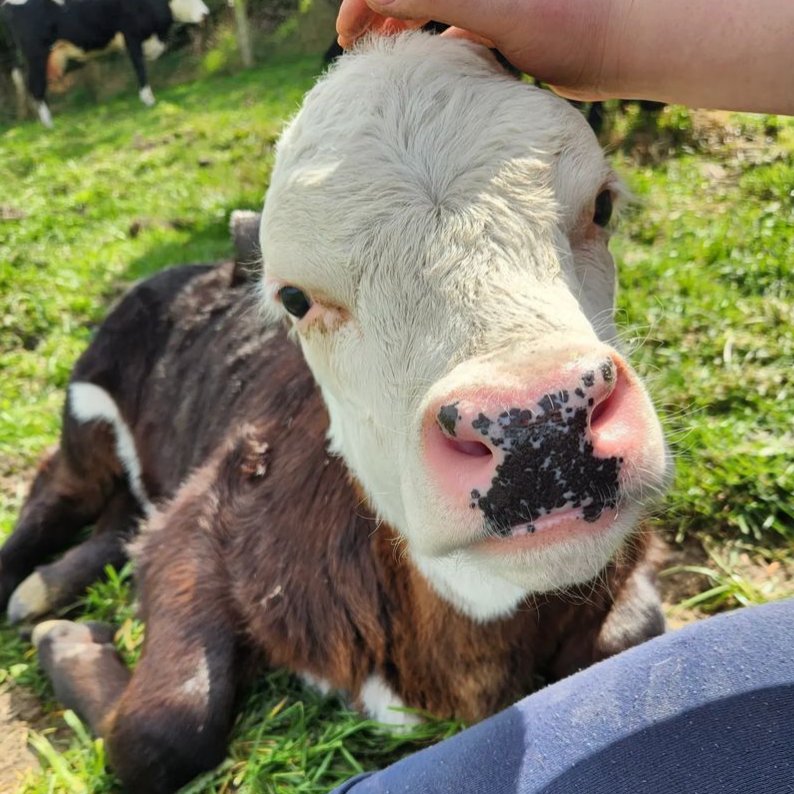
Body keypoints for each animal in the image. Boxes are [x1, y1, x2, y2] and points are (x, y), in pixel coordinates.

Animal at [0, 0, 209, 125]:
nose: (206, 14)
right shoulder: (131, 36)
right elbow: (140, 68)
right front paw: (148, 99)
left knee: (25, 83)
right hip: (36, 53)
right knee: (35, 85)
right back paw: (49, 124)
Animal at [0, 34, 668, 792]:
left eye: (602, 206)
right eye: (295, 298)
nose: (536, 426)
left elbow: (635, 631)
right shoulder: (214, 501)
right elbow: (162, 730)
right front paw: (71, 643)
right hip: (88, 408)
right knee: (59, 491)